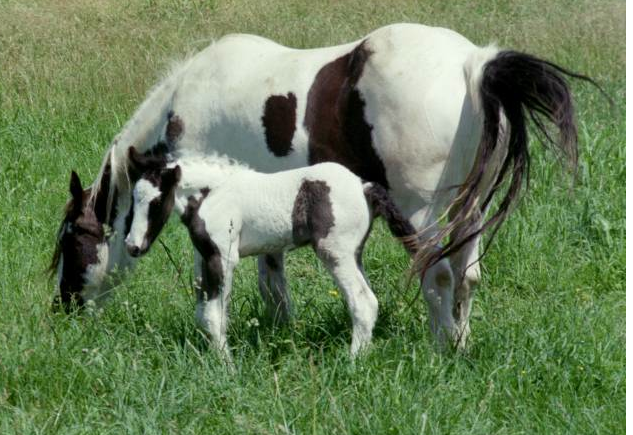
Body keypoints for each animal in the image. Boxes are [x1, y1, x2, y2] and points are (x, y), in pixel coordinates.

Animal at [123, 146, 420, 358]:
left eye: (156, 201)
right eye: (133, 199)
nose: (132, 246)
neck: (213, 194)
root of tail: (363, 186)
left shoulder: (224, 258)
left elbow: (214, 315)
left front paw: (226, 367)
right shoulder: (204, 257)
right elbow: (203, 311)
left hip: (336, 253)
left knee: (363, 301)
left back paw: (352, 361)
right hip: (355, 254)